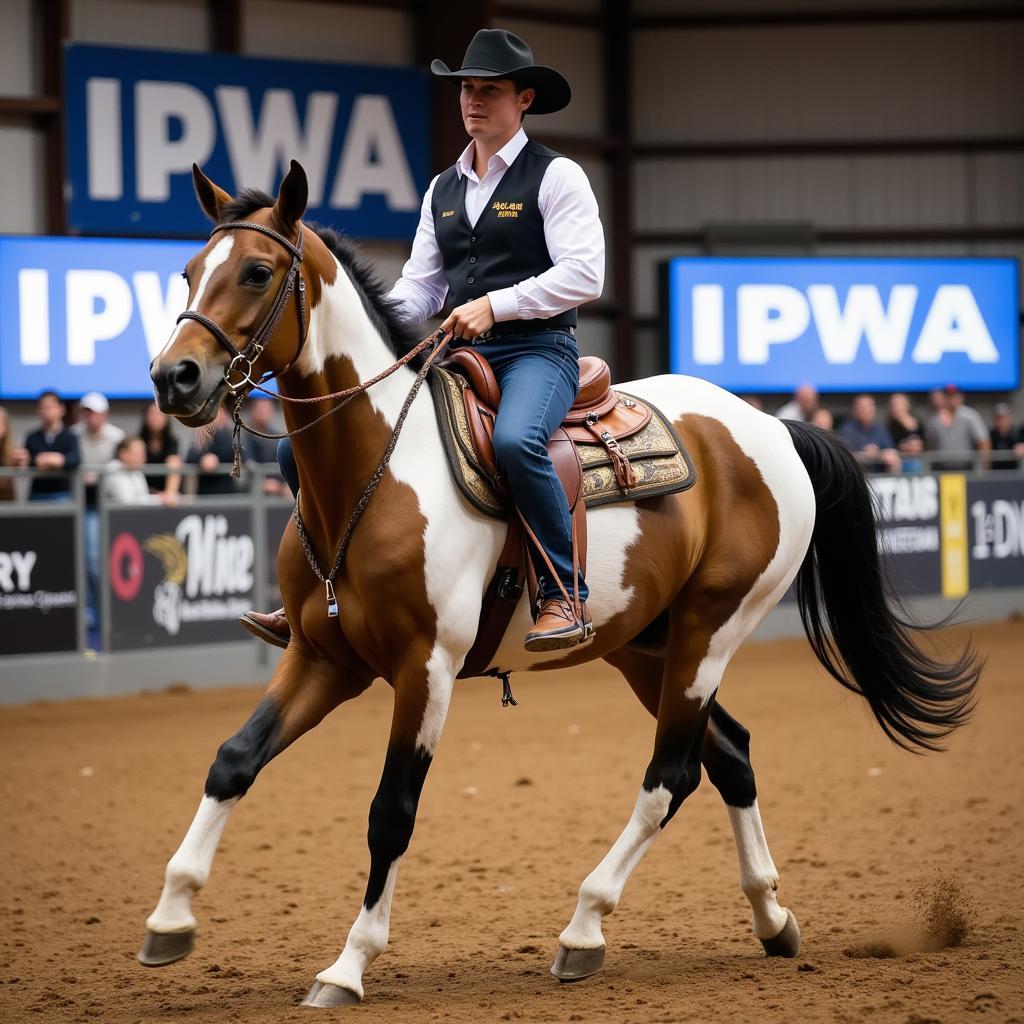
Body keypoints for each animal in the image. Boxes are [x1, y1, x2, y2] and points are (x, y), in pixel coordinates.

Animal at [142, 161, 974, 1007]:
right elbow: (233, 760)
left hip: (710, 633)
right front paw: (170, 920)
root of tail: (772, 427)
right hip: (645, 647)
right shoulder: (322, 658)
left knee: (671, 775)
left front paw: (347, 966)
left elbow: (391, 812)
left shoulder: (424, 669)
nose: (175, 377)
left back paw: (584, 929)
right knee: (730, 755)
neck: (377, 468)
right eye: (188, 271)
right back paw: (771, 920)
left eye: (256, 271)